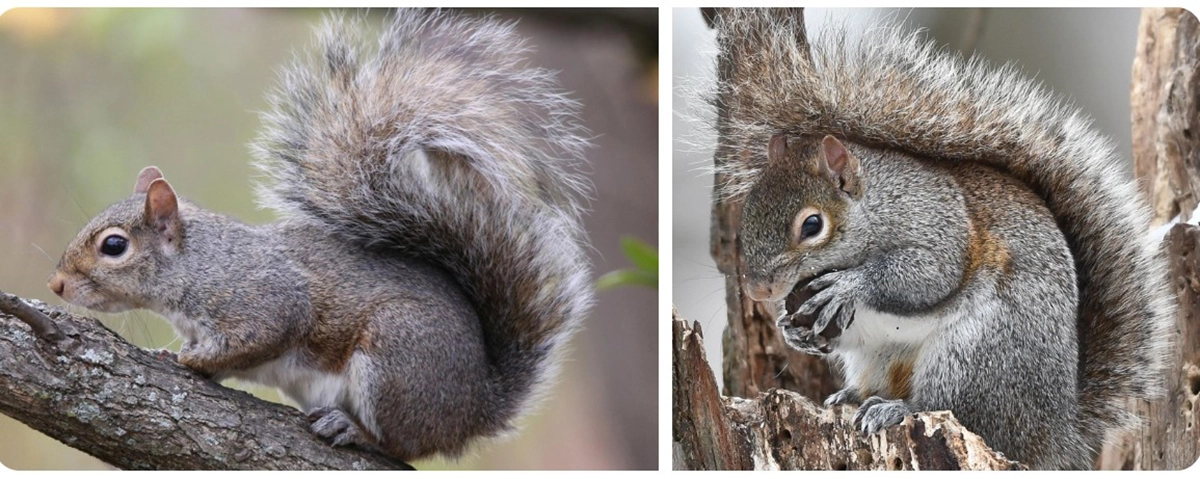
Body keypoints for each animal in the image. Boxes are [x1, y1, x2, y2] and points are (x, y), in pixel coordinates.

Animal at [45, 10, 592, 462]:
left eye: (114, 246)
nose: (56, 284)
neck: (198, 263)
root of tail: (475, 408)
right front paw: (172, 353)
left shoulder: (263, 298)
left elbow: (258, 336)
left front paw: (190, 360)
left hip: (396, 356)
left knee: (403, 444)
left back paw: (356, 431)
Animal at [710, 10, 1174, 469]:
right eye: (747, 213)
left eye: (811, 226)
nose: (758, 290)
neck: (874, 204)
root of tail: (1055, 436)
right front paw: (791, 330)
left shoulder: (933, 221)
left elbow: (931, 273)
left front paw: (847, 286)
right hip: (882, 355)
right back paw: (851, 396)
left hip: (976, 356)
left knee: (954, 409)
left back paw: (894, 409)